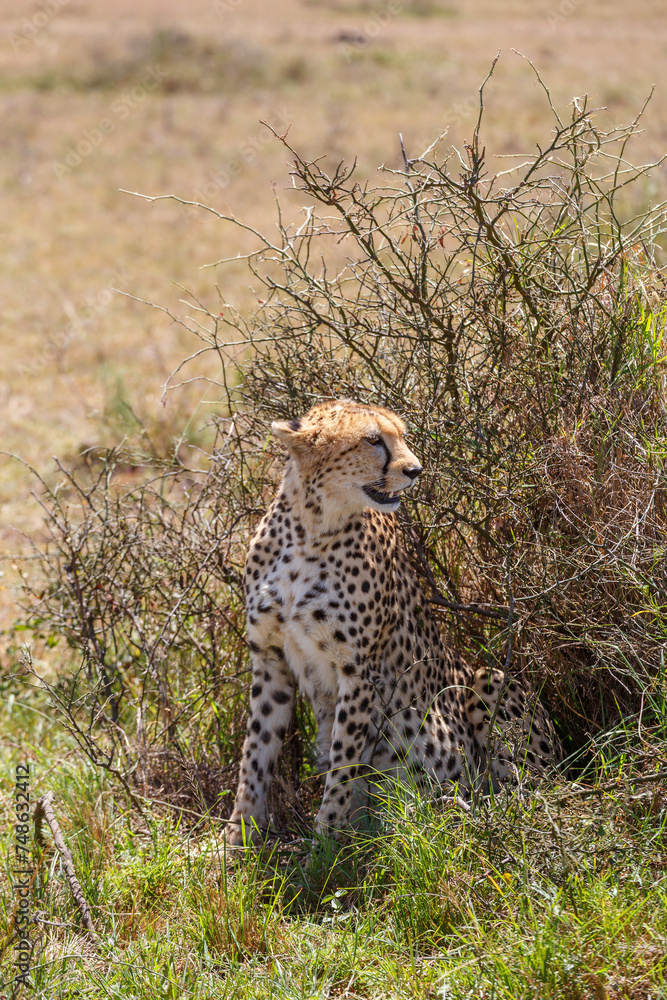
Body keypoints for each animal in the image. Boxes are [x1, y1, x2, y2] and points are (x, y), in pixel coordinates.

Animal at [227, 398, 560, 844]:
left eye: (400, 435)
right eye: (372, 440)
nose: (416, 470)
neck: (311, 529)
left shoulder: (358, 670)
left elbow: (343, 762)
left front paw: (325, 839)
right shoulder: (270, 658)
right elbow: (256, 751)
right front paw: (237, 836)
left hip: (491, 680)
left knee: (529, 793)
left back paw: (474, 810)